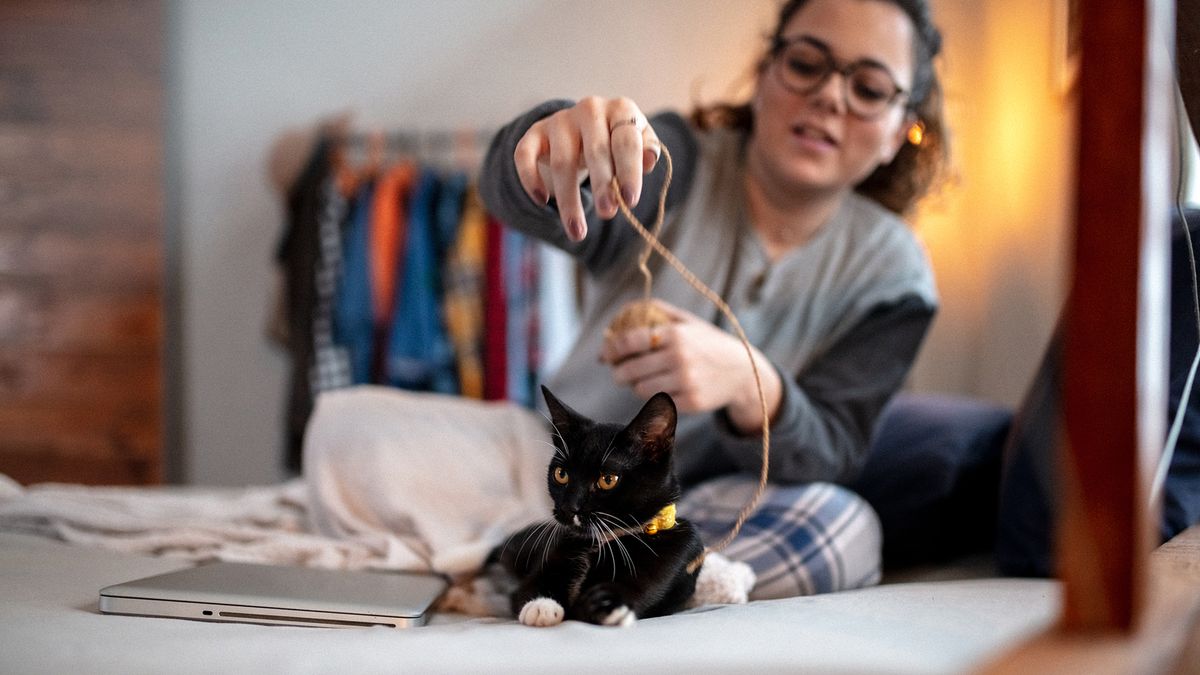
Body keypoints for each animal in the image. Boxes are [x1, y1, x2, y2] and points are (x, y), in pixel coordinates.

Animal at [494, 384, 705, 624]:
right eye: (561, 474)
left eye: (608, 480)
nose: (569, 507)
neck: (601, 541)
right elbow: (526, 589)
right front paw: (541, 605)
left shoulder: (673, 561)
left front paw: (607, 605)